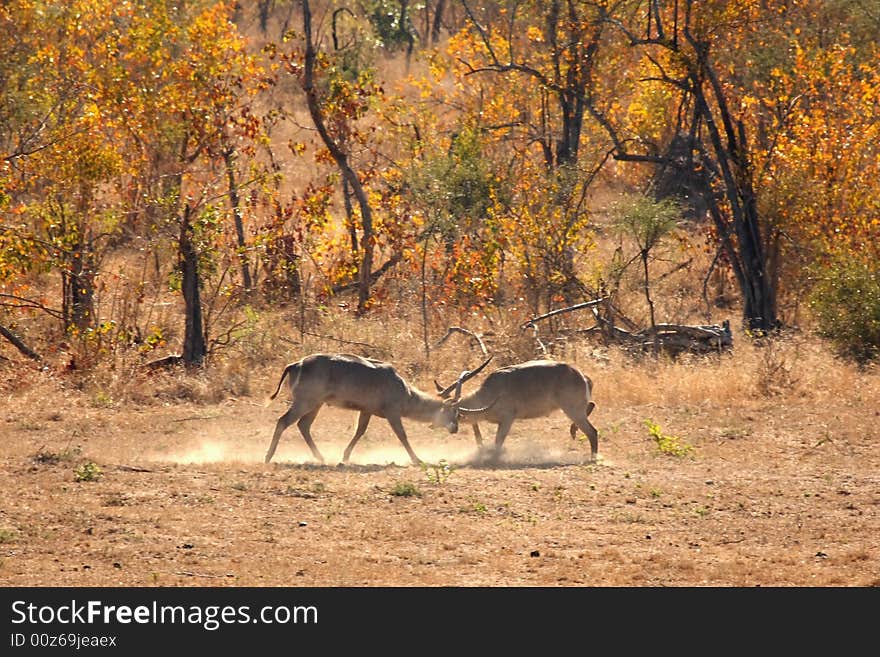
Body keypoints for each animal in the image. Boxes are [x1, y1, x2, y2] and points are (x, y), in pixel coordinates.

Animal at [264, 352, 492, 464]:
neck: (405, 391)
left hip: (315, 404)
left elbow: (360, 431)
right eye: (455, 412)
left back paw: (320, 457)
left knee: (303, 425)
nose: (454, 428)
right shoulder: (392, 413)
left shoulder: (366, 411)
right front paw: (417, 459)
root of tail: (295, 365)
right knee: (283, 421)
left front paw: (345, 457)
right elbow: (402, 435)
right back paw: (268, 457)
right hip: (306, 402)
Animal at [438, 358, 600, 462]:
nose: (452, 429)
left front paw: (493, 458)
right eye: (442, 409)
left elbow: (498, 441)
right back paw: (574, 431)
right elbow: (478, 436)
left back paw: (592, 457)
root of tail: (581, 375)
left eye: (452, 413)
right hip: (574, 409)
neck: (492, 391)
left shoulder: (507, 420)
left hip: (572, 410)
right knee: (591, 405)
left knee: (593, 431)